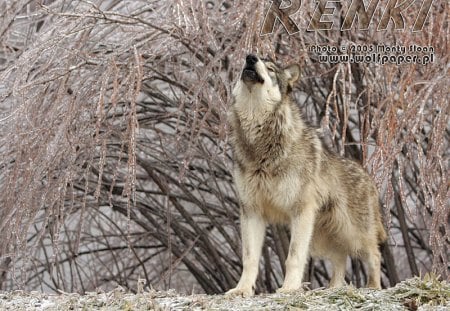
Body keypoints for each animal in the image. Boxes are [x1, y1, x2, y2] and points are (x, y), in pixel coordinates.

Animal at [225, 54, 386, 298]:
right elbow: (249, 258)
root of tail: (368, 178)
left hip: (351, 233)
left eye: (270, 68)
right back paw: (333, 289)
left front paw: (289, 289)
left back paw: (373, 288)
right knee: (340, 258)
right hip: (319, 238)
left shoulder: (300, 211)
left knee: (374, 255)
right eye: (246, 62)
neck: (261, 145)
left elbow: (293, 257)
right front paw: (242, 290)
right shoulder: (251, 211)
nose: (250, 58)